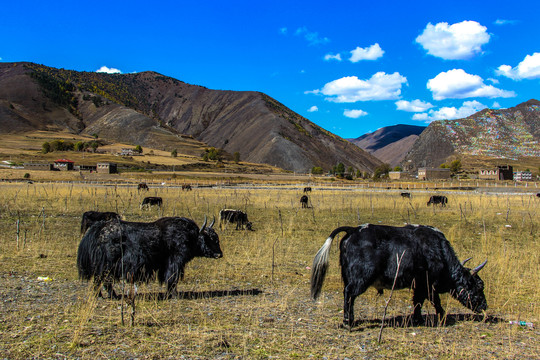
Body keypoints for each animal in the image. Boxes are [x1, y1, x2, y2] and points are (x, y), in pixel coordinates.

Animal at [76, 217, 221, 298]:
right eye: (210, 239)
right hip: (106, 265)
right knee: (101, 280)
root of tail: (97, 229)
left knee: (100, 281)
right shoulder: (175, 261)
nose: (219, 254)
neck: (191, 236)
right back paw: (108, 296)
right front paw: (174, 294)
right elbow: (172, 278)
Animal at [310, 224, 488, 328]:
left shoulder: (420, 284)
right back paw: (348, 323)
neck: (440, 252)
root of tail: (353, 230)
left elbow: (420, 301)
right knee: (349, 293)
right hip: (361, 278)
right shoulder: (426, 283)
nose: (484, 306)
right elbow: (431, 301)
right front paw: (441, 317)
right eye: (479, 286)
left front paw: (420, 319)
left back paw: (351, 320)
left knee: (349, 296)